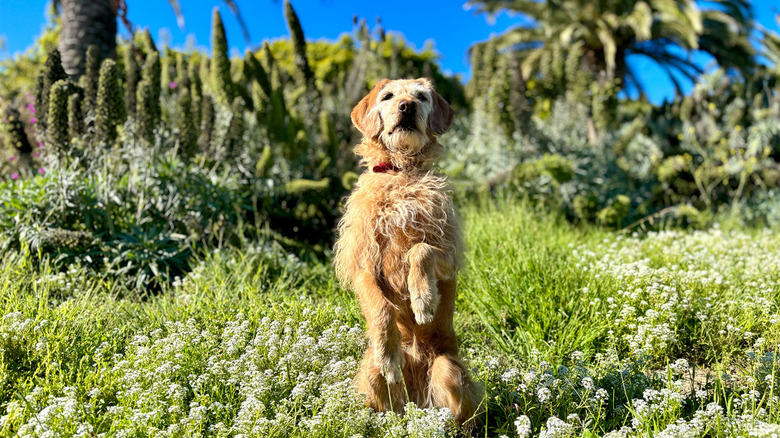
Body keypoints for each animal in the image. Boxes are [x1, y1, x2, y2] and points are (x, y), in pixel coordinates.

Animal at [332, 78, 478, 424]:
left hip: (448, 371)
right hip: (371, 376)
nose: (406, 106)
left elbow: (420, 251)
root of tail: (415, 399)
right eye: (388, 96)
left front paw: (422, 299)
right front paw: (389, 350)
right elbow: (381, 307)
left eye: (421, 96)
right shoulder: (363, 264)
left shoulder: (447, 255)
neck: (401, 172)